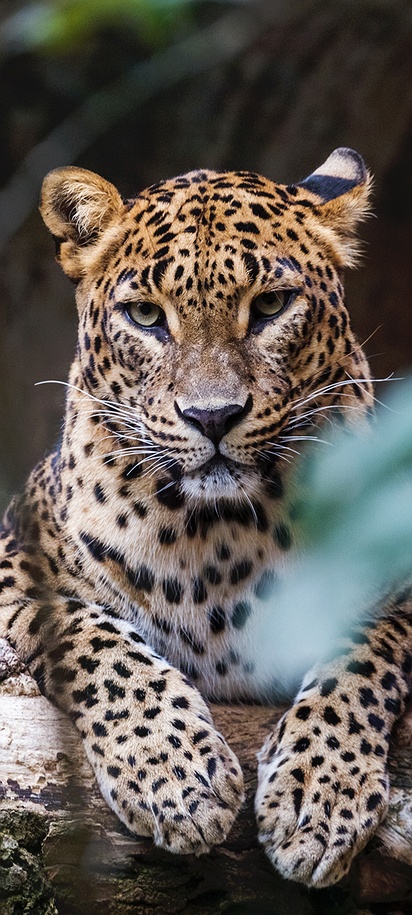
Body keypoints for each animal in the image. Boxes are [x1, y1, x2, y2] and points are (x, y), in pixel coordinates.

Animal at [1, 147, 411, 889]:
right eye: (145, 315)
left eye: (271, 305)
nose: (213, 416)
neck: (222, 536)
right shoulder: (15, 561)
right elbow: (91, 636)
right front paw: (178, 776)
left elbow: (364, 652)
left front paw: (319, 796)